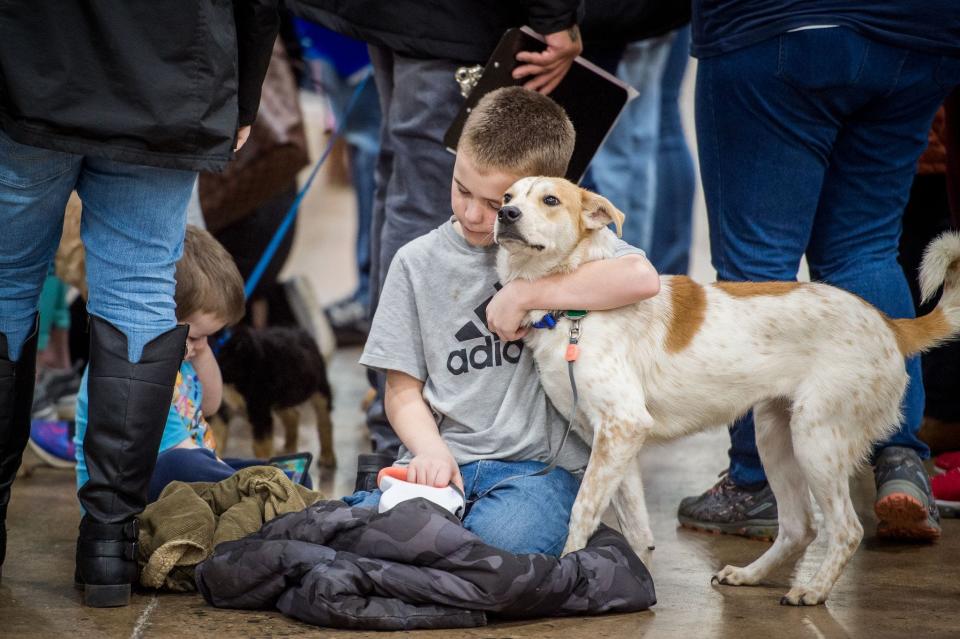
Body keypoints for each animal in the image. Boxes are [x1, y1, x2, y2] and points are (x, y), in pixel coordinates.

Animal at [216, 324, 336, 470]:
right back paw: (288, 449)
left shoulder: (259, 409)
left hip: (318, 387)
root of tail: (303, 332)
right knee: (292, 416)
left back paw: (327, 457)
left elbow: (260, 446)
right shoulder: (221, 408)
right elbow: (216, 437)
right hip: (283, 395)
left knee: (324, 421)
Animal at [496, 178, 960, 608]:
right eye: (507, 196)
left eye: (550, 200)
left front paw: (567, 570)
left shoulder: (623, 425)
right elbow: (636, 527)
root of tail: (891, 325)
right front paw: (629, 578)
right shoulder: (614, 440)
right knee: (799, 527)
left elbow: (582, 510)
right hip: (775, 435)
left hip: (816, 439)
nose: (506, 215)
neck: (573, 306)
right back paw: (749, 576)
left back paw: (812, 590)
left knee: (846, 528)